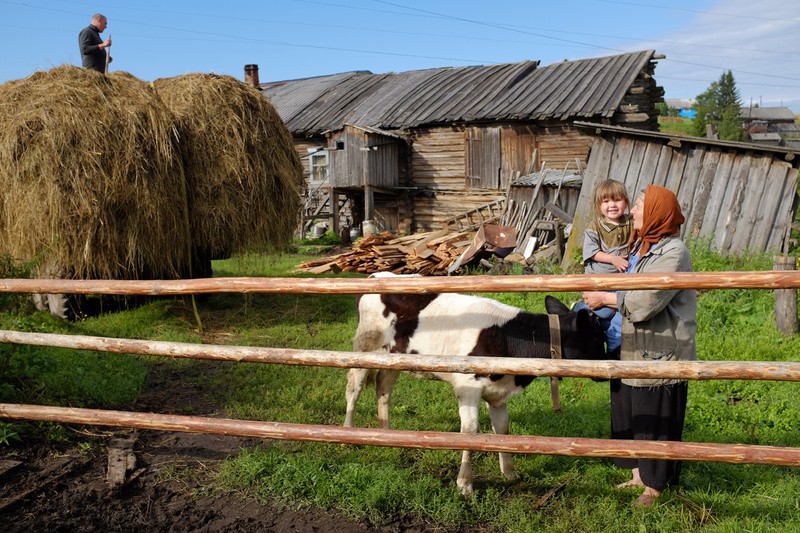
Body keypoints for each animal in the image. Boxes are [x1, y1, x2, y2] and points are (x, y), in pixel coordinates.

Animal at [344, 282, 608, 494]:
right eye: (597, 337)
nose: (609, 361)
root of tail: (377, 276)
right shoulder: (468, 387)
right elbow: (470, 433)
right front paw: (465, 484)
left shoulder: (499, 393)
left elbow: (503, 430)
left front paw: (509, 473)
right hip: (365, 348)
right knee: (354, 389)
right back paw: (348, 435)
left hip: (394, 359)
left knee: (383, 391)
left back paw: (388, 435)